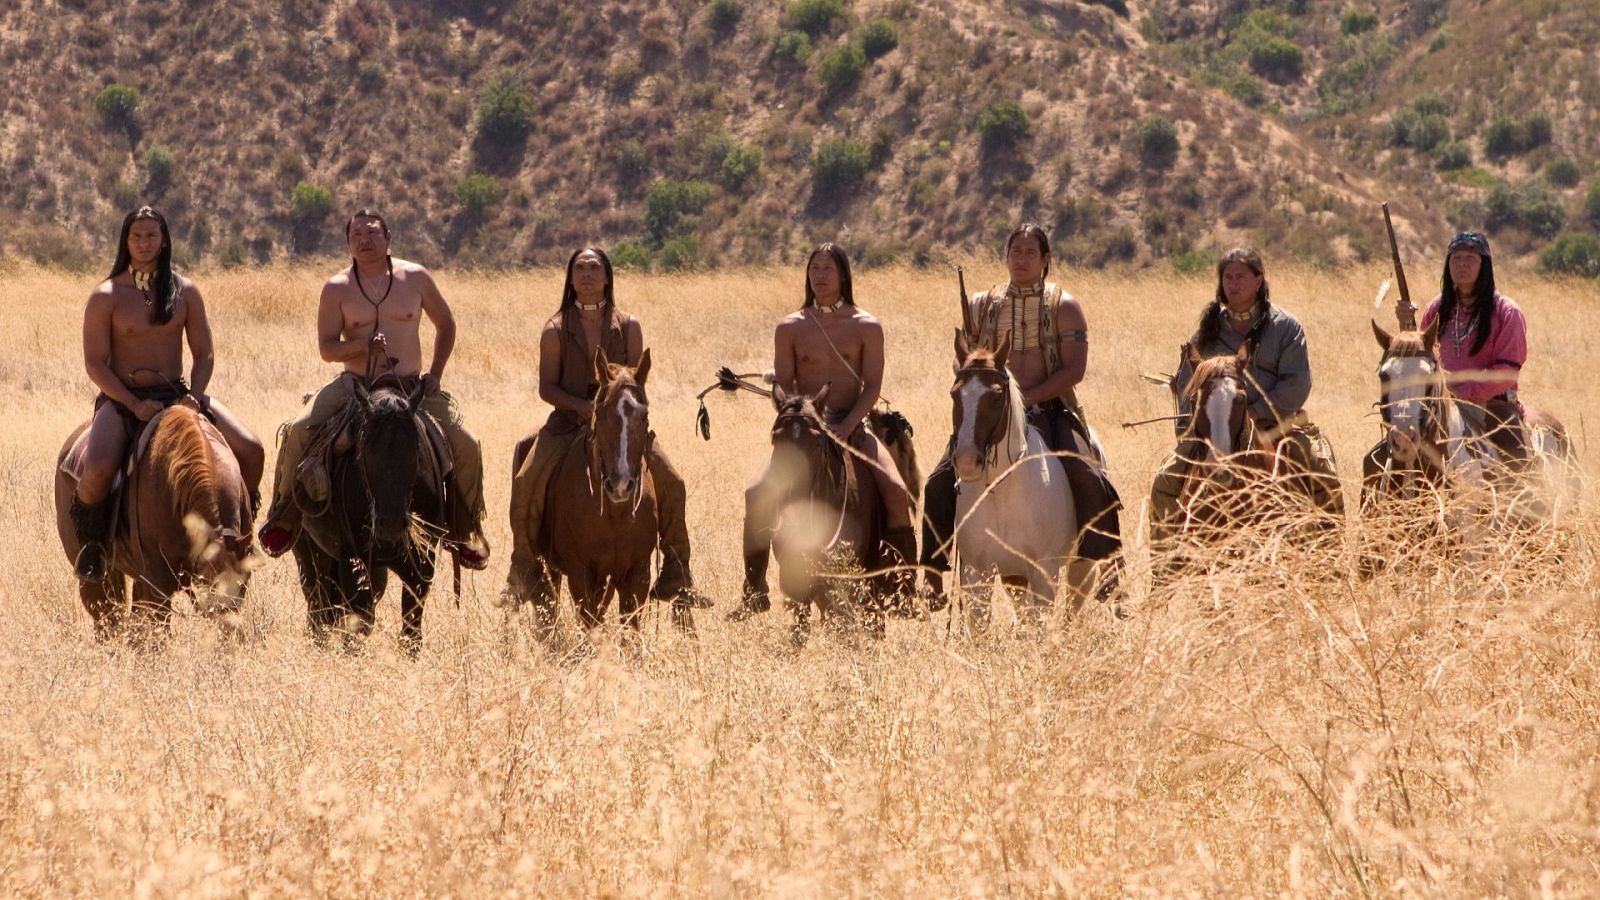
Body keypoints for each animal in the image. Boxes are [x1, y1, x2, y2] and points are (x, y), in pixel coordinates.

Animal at [56, 403, 257, 640]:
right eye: (208, 586)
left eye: (243, 586)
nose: (229, 630)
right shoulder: (158, 582)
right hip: (95, 576)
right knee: (106, 619)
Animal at [291, 379, 444, 650]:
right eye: (365, 449)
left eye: (414, 448)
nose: (390, 525)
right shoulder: (351, 560)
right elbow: (358, 626)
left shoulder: (423, 564)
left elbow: (411, 631)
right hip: (308, 556)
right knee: (318, 608)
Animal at [534, 342, 665, 630]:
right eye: (600, 413)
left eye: (644, 415)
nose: (621, 485)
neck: (615, 515)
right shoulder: (581, 573)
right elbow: (589, 624)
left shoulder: (637, 574)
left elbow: (631, 629)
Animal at [940, 325, 1081, 627]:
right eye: (954, 394)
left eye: (995, 397)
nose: (967, 461)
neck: (1001, 491)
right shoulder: (977, 574)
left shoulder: (1043, 574)